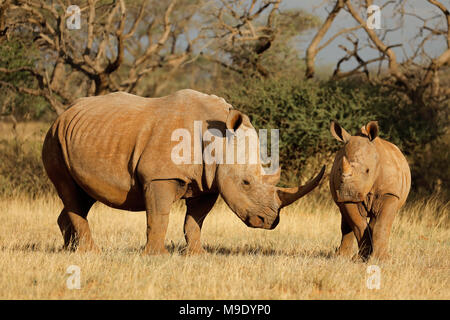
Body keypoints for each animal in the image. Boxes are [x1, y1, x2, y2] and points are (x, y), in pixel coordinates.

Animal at [328, 120, 410, 260]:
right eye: (339, 170)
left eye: (367, 170)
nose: (347, 193)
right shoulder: (349, 196)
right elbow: (358, 225)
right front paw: (361, 258)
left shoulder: (390, 193)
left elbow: (382, 224)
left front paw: (381, 259)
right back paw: (341, 256)